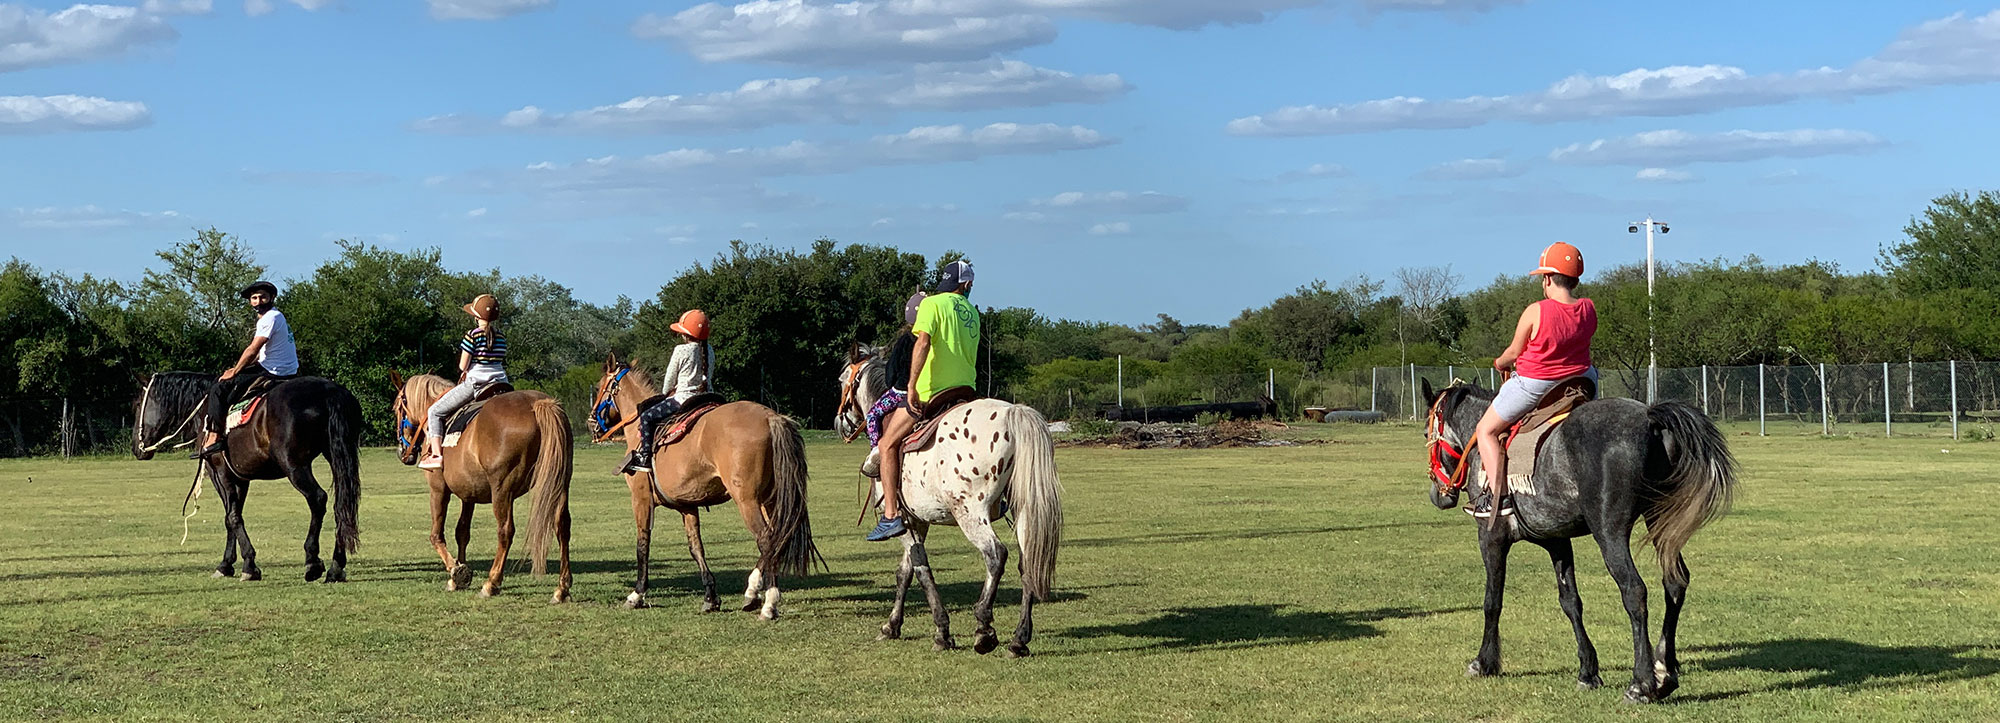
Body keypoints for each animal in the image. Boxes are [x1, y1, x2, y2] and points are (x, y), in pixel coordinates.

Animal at [133, 373, 364, 583]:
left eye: (137, 405)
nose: (136, 447)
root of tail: (329, 392)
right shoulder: (240, 478)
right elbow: (233, 516)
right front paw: (228, 564)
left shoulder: (220, 473)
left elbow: (232, 517)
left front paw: (248, 565)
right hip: (337, 457)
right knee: (341, 505)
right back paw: (336, 567)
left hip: (295, 466)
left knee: (318, 499)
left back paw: (312, 561)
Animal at [390, 369, 576, 603]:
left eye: (396, 408)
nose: (402, 452)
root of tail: (539, 404)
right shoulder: (469, 494)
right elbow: (462, 531)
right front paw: (458, 574)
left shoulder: (439, 490)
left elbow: (436, 534)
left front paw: (455, 570)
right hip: (560, 483)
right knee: (562, 526)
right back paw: (562, 588)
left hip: (502, 489)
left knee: (505, 531)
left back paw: (492, 583)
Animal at [584, 353, 820, 619]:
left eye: (599, 387)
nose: (591, 423)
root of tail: (771, 417)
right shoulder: (687, 506)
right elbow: (696, 547)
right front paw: (710, 596)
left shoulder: (641, 499)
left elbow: (642, 544)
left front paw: (637, 594)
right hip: (771, 499)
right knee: (779, 537)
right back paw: (752, 592)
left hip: (747, 500)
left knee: (767, 539)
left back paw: (768, 603)